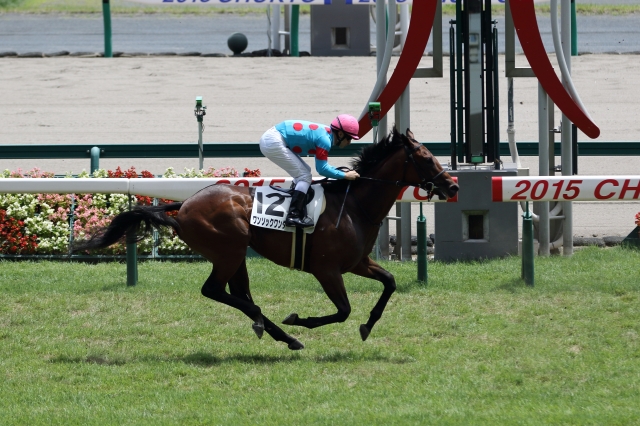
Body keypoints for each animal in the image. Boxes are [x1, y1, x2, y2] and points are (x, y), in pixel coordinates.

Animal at [72, 127, 459, 350]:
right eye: (426, 157)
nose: (452, 186)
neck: (355, 205)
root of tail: (183, 206)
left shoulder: (358, 262)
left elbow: (389, 283)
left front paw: (367, 325)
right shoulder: (327, 269)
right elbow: (343, 311)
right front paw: (299, 319)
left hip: (236, 253)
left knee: (240, 294)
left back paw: (277, 333)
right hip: (228, 249)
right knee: (216, 291)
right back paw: (280, 330)